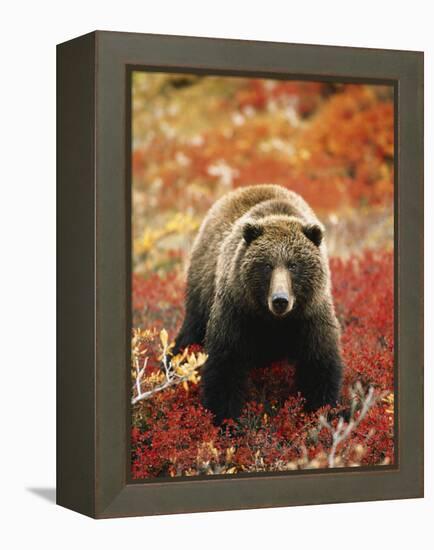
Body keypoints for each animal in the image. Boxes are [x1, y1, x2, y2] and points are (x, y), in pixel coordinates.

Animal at [174, 185, 342, 426]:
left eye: (293, 265)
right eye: (267, 265)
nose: (280, 300)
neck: (273, 321)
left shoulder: (311, 316)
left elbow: (319, 366)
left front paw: (321, 413)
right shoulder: (237, 311)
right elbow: (225, 365)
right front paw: (225, 420)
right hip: (201, 290)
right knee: (189, 334)